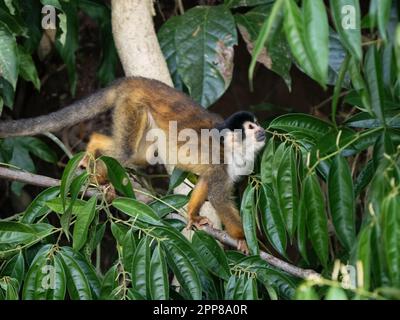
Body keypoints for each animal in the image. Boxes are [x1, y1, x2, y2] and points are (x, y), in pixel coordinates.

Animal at [0, 77, 266, 250]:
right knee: (125, 153)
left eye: (257, 124)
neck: (234, 150)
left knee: (141, 156)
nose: (263, 131)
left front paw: (192, 215)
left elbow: (204, 183)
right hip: (132, 106)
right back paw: (98, 172)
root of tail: (134, 80)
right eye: (251, 128)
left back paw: (95, 149)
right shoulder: (221, 164)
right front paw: (243, 238)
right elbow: (219, 198)